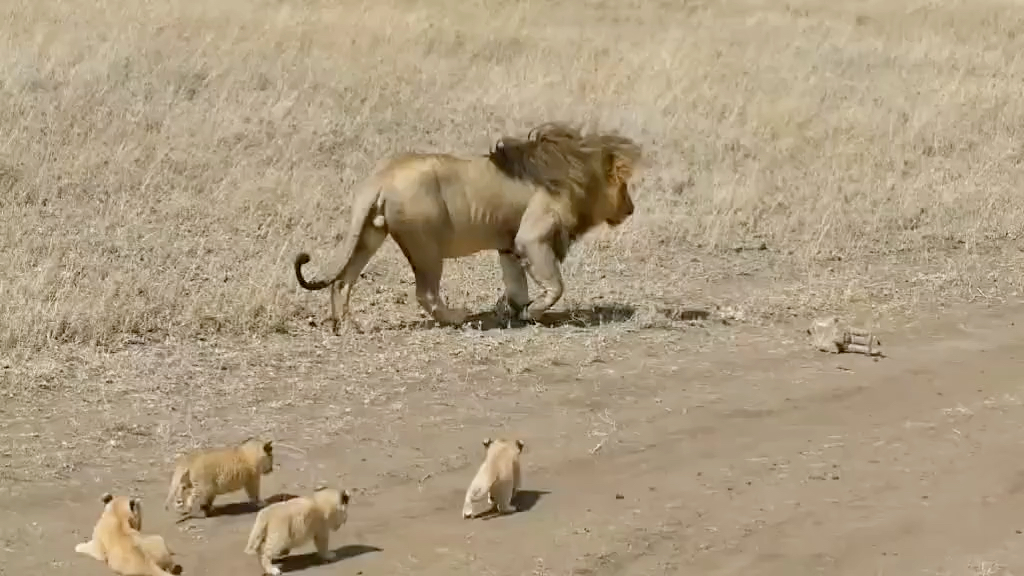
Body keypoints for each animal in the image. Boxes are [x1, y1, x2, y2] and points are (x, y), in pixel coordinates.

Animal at [292, 119, 638, 332]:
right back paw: (457, 318)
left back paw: (347, 326)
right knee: (425, 293)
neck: (577, 172)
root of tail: (381, 176)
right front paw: (535, 311)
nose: (631, 209)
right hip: (426, 246)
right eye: (624, 187)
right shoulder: (532, 237)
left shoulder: (508, 246)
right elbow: (556, 285)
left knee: (342, 281)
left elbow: (516, 284)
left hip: (370, 234)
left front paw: (515, 310)